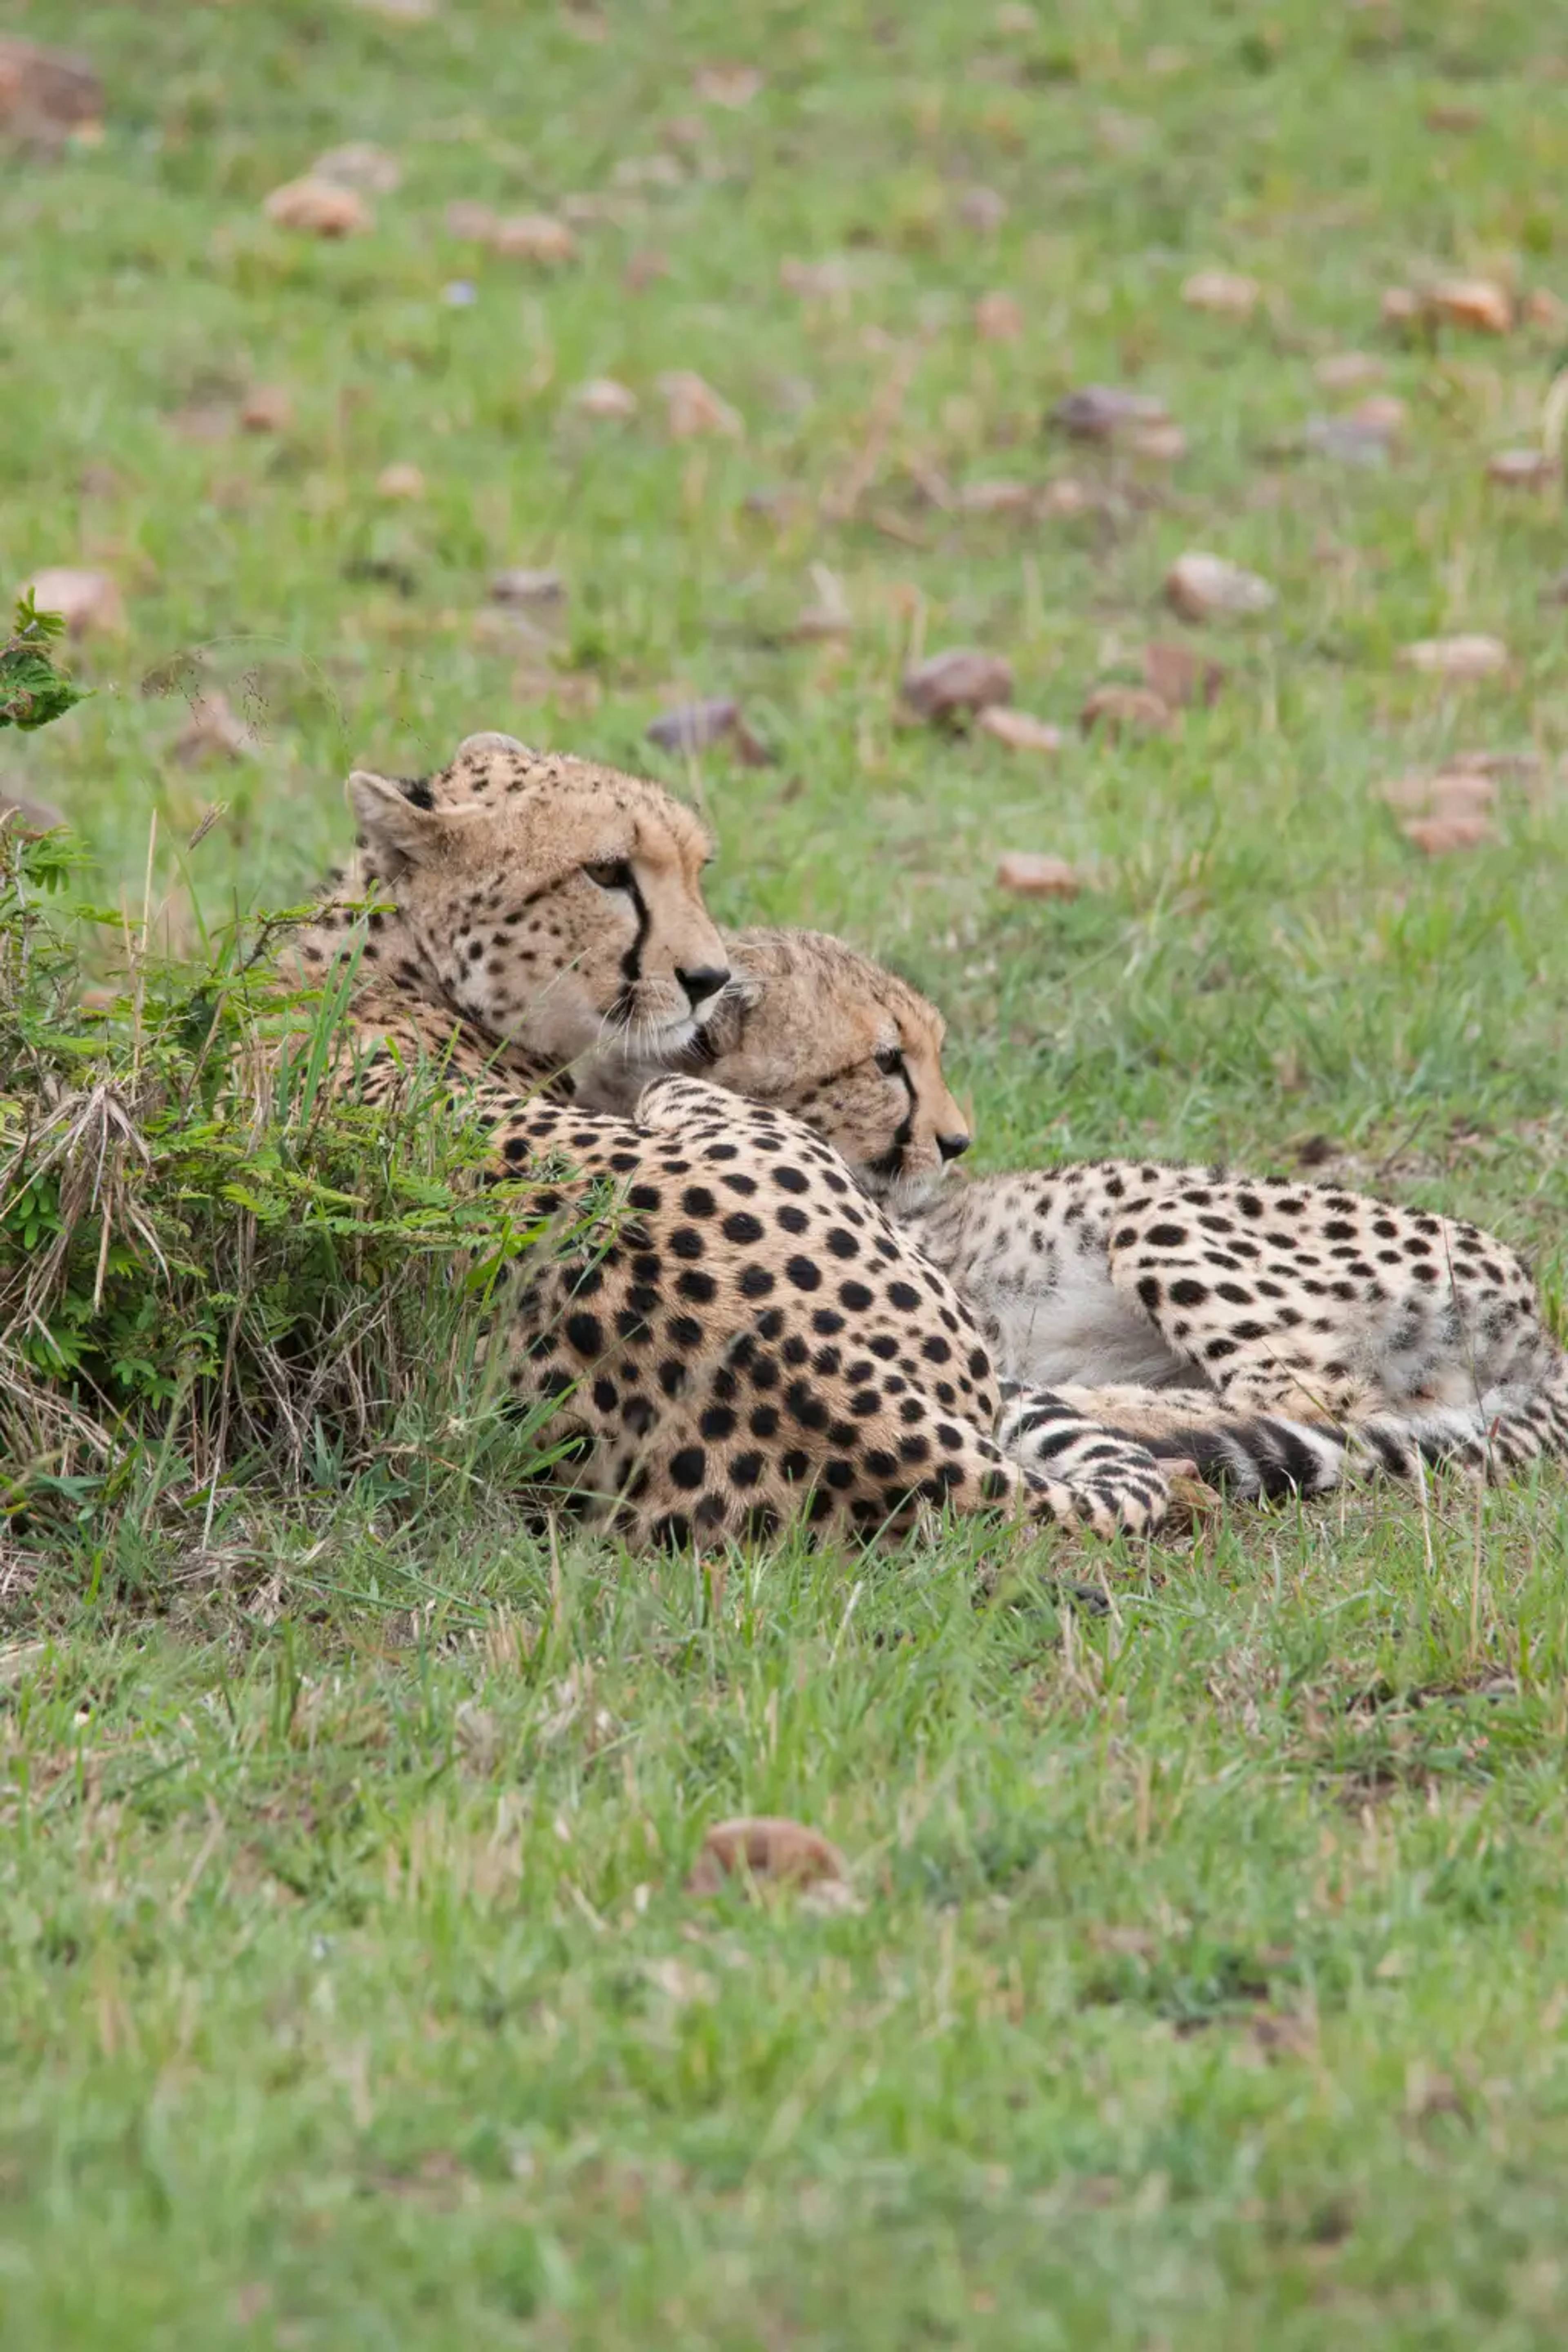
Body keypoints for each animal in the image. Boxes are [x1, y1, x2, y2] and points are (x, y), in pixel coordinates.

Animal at [601, 923, 1568, 1505]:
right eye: (885, 1063)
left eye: (931, 1051)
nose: (958, 1142)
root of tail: (1535, 1319)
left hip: (1159, 1212)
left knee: (1307, 1396)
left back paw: (1113, 1410)